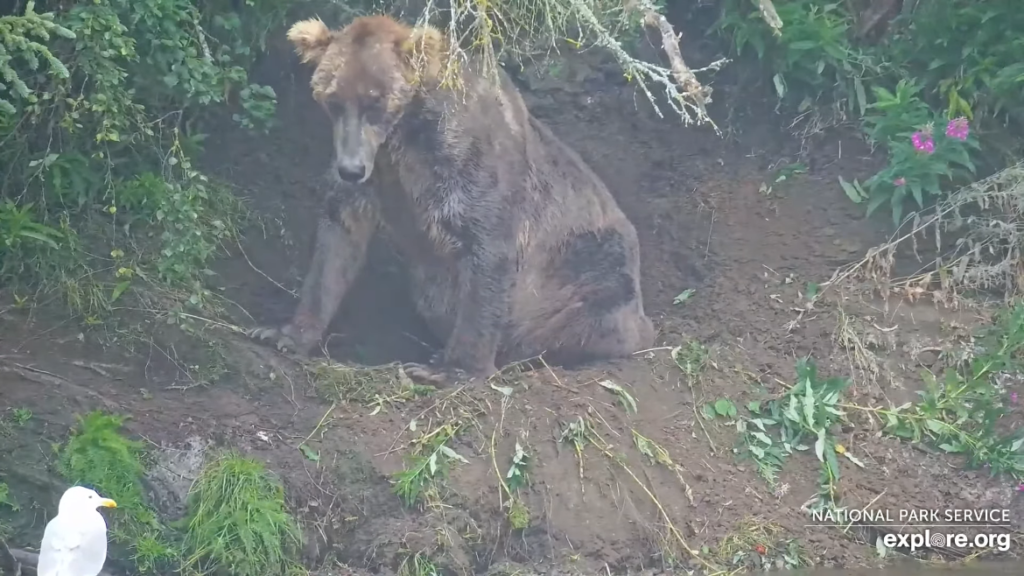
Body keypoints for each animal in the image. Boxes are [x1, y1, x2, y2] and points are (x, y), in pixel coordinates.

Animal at [247, 13, 655, 383]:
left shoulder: (469, 168)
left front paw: (450, 369)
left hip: (589, 268)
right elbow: (336, 244)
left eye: (375, 102)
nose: (351, 167)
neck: (404, 137)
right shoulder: (372, 179)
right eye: (333, 100)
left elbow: (488, 251)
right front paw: (283, 334)